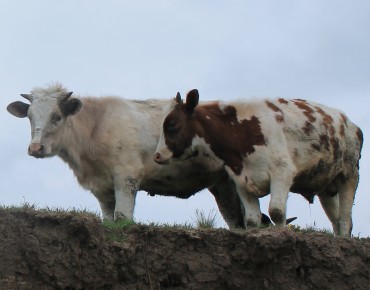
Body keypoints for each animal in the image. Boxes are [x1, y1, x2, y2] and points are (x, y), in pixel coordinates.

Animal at [6, 82, 254, 228]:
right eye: (29, 117)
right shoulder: (101, 187)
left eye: (57, 116)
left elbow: (122, 217)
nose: (35, 148)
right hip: (222, 183)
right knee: (235, 219)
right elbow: (109, 220)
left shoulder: (127, 176)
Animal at [154, 90, 364, 236]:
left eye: (172, 124)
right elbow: (252, 220)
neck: (239, 133)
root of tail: (351, 124)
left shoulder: (282, 172)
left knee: (345, 219)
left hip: (349, 174)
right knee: (335, 218)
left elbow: (277, 211)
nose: (157, 155)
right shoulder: (241, 180)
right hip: (326, 185)